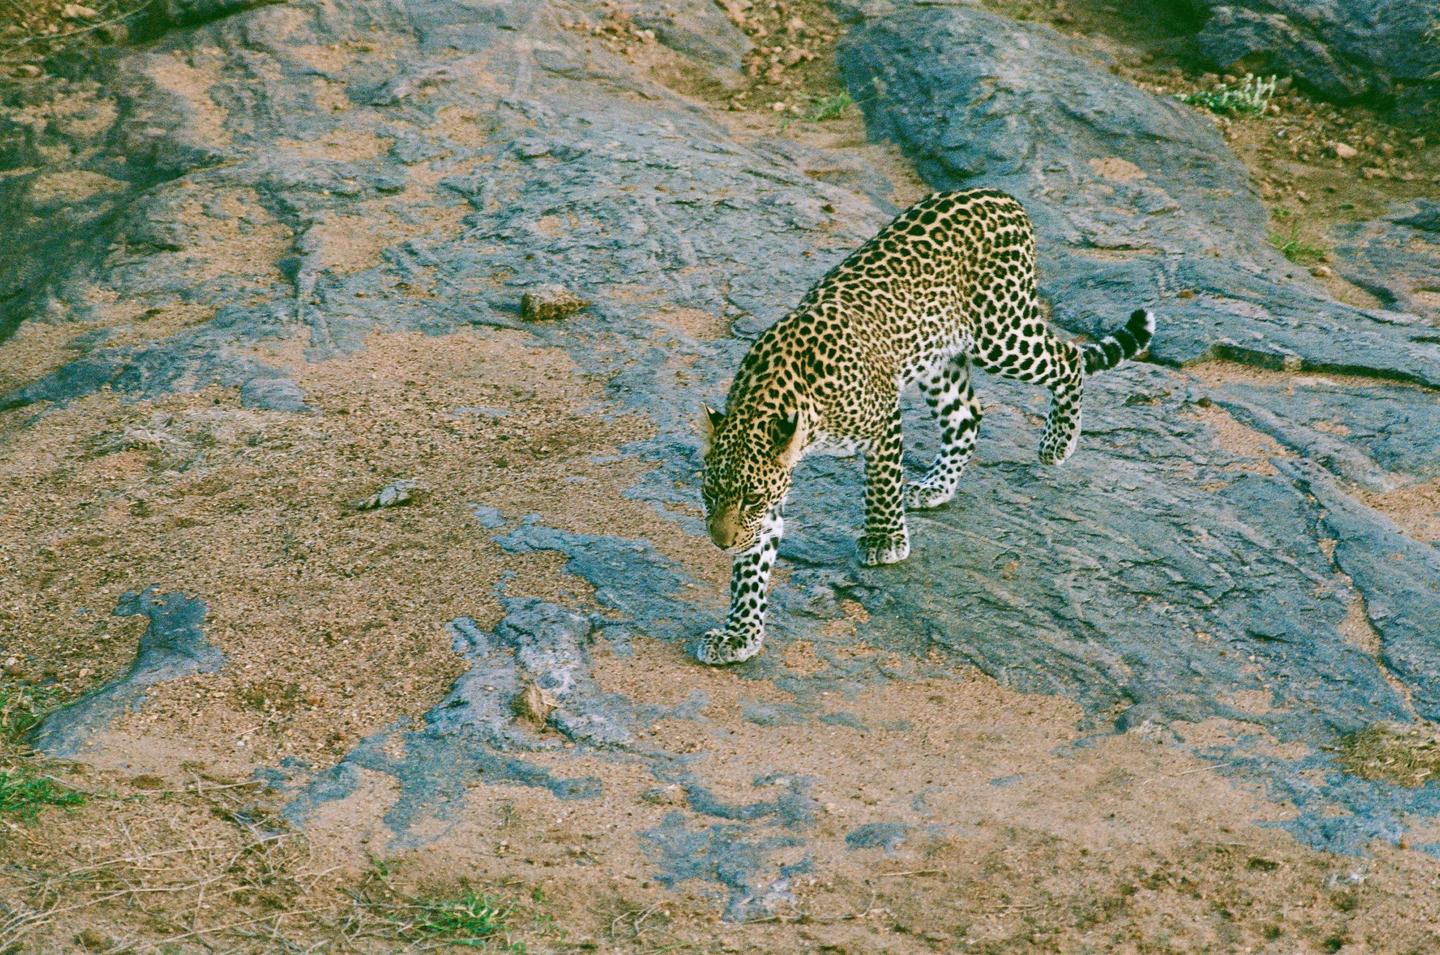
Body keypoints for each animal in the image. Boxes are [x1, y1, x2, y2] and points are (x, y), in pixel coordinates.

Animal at [697, 188, 1155, 665]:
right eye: (710, 493)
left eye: (750, 499)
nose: (720, 542)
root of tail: (1001, 195)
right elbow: (754, 564)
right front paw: (740, 633)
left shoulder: (883, 419)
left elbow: (881, 485)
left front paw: (883, 538)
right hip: (940, 358)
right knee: (967, 414)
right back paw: (935, 487)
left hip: (1001, 333)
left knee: (1067, 358)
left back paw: (1057, 442)